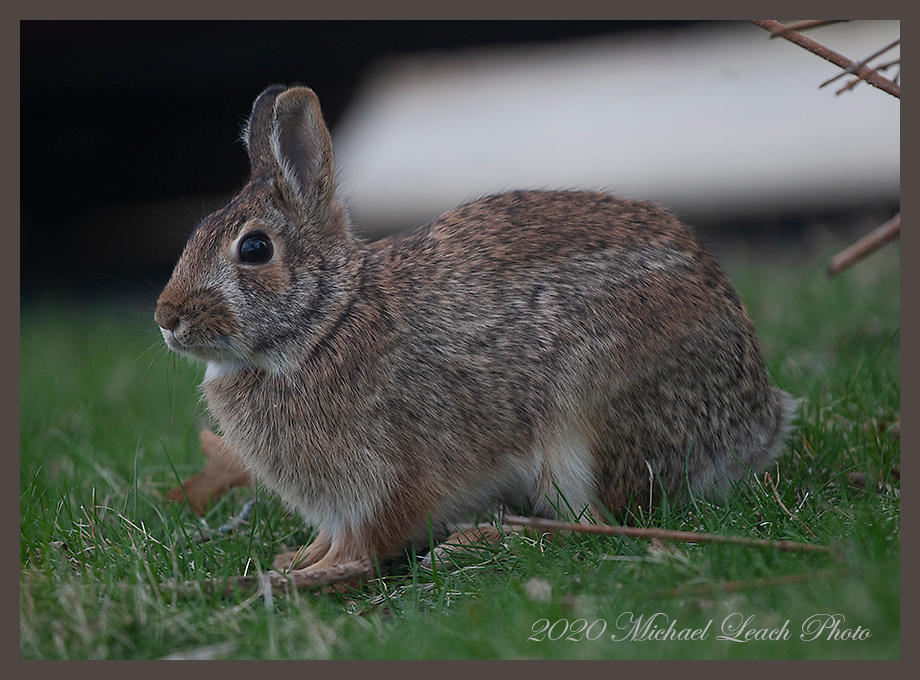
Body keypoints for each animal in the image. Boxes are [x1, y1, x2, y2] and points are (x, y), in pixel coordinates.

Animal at [155, 84, 798, 575]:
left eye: (254, 249)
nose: (167, 318)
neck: (326, 323)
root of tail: (754, 425)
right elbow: (332, 535)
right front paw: (297, 560)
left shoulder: (388, 475)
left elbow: (369, 538)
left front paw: (319, 574)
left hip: (582, 426)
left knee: (595, 526)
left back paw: (476, 542)